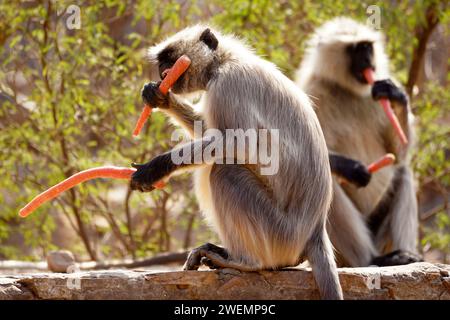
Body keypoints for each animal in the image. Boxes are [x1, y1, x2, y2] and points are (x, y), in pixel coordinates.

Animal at [132, 25, 342, 300]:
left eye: (169, 59)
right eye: (162, 64)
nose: (163, 73)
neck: (224, 61)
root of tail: (315, 230)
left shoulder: (228, 85)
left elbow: (242, 145)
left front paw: (156, 168)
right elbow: (208, 130)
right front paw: (159, 97)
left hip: (279, 233)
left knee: (225, 170)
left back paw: (244, 261)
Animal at [296, 17, 422, 268]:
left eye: (367, 47)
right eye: (355, 50)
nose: (368, 61)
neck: (346, 90)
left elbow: (398, 154)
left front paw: (395, 94)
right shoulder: (314, 91)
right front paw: (353, 169)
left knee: (403, 173)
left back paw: (404, 256)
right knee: (327, 181)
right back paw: (371, 259)